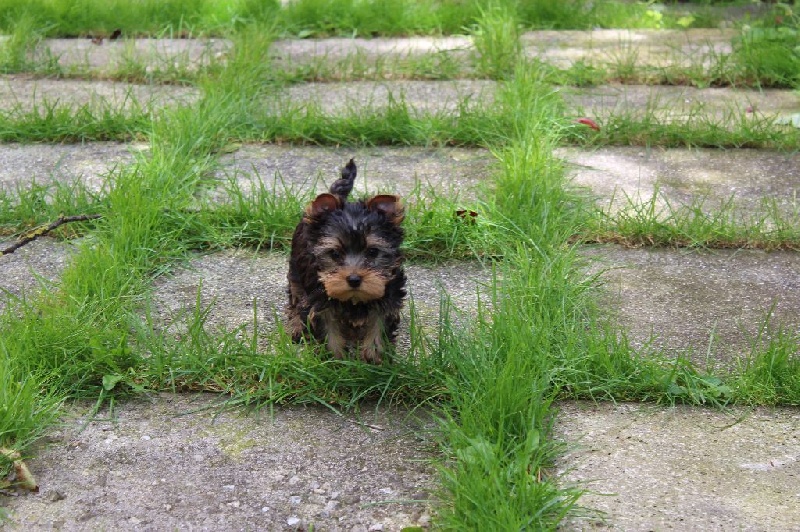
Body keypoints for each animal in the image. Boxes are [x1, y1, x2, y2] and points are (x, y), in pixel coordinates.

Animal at [285, 159, 406, 364]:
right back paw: (296, 325)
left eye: (373, 252)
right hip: (295, 268)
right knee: (296, 295)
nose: (354, 279)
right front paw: (334, 361)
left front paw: (375, 360)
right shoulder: (320, 302)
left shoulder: (388, 299)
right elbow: (328, 332)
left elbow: (378, 329)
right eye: (334, 254)